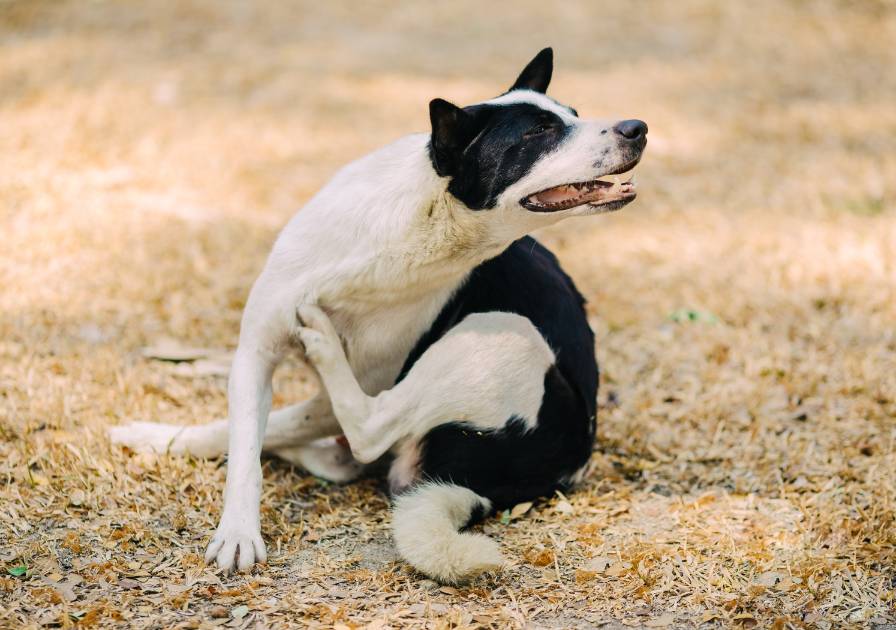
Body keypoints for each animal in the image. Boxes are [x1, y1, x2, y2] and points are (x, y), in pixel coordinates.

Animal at [110, 49, 644, 588]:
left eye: (572, 115)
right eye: (540, 132)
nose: (637, 127)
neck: (419, 224)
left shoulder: (362, 380)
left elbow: (278, 427)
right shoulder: (255, 351)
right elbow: (245, 445)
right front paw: (233, 523)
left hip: (505, 333)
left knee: (367, 432)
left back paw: (321, 346)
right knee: (331, 449)